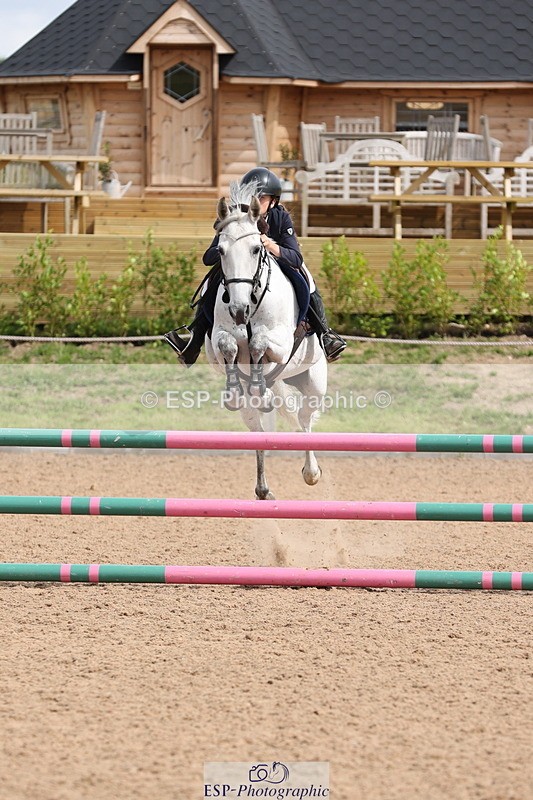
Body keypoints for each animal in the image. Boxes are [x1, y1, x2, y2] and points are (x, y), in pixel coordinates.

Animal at [204, 183, 328, 500]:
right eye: (220, 250)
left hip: (313, 382)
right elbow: (229, 346)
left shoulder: (281, 342)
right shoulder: (220, 338)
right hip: (253, 410)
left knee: (305, 419)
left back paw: (311, 473)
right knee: (258, 431)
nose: (238, 310)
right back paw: (263, 489)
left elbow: (259, 343)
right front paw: (234, 389)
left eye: (256, 248)